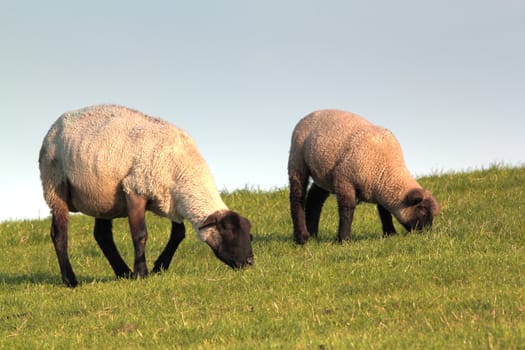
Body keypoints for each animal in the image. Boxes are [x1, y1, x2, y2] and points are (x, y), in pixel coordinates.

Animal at [39, 104, 254, 288]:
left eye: (250, 236)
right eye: (229, 233)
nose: (250, 262)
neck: (185, 171)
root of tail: (55, 125)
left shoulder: (172, 200)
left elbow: (178, 233)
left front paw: (159, 267)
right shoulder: (135, 189)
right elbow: (140, 234)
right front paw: (142, 273)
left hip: (101, 197)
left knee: (102, 235)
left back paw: (123, 272)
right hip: (55, 183)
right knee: (59, 234)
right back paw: (71, 280)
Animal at [286, 108, 438, 243]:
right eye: (422, 211)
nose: (427, 232)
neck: (386, 166)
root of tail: (309, 115)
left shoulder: (380, 186)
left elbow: (384, 211)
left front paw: (390, 233)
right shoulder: (344, 180)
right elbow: (347, 210)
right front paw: (344, 239)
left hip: (324, 174)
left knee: (314, 199)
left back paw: (312, 234)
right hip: (297, 160)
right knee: (297, 198)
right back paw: (302, 237)